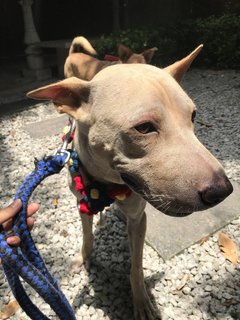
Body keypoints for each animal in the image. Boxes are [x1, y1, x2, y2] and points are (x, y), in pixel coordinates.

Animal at [27, 45, 232, 320]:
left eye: (193, 115)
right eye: (144, 128)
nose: (223, 190)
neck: (106, 184)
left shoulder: (138, 218)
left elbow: (136, 266)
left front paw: (141, 301)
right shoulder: (82, 203)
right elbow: (87, 235)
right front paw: (84, 258)